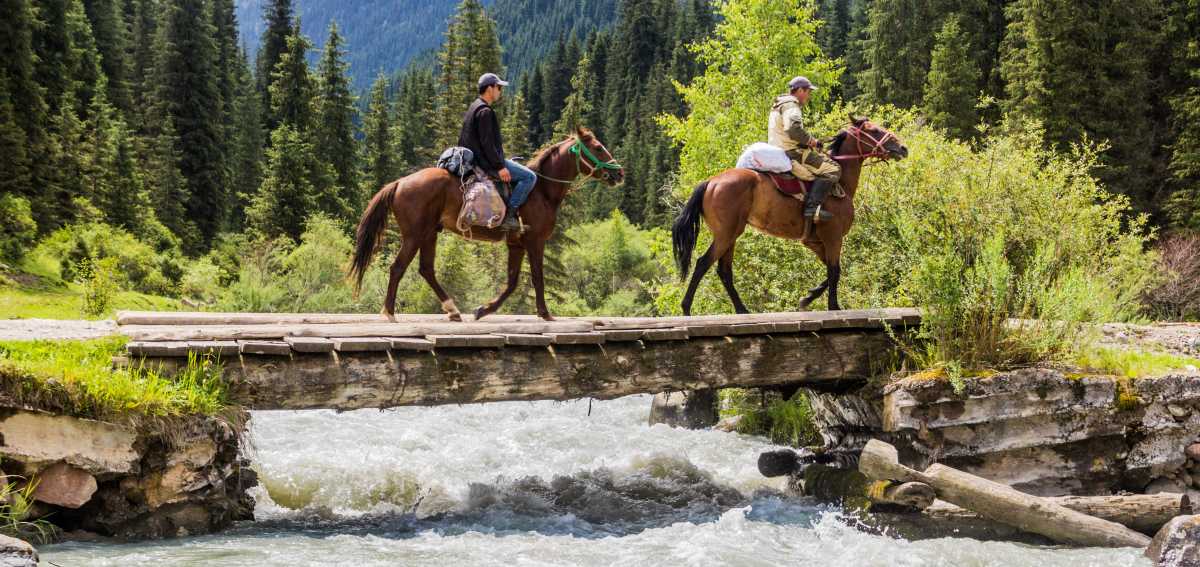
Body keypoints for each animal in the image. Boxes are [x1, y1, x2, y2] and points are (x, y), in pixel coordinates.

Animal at [349, 127, 624, 322]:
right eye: (598, 147)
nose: (619, 173)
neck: (542, 190)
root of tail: (399, 183)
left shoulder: (516, 245)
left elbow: (512, 283)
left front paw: (483, 310)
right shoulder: (535, 241)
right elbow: (537, 277)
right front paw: (545, 313)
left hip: (429, 234)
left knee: (426, 269)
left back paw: (453, 310)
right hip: (414, 235)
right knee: (397, 268)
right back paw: (389, 312)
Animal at [671, 116, 908, 315]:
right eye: (874, 130)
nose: (902, 148)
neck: (840, 184)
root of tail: (711, 182)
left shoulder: (814, 241)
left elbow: (829, 272)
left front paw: (807, 298)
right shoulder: (833, 237)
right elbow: (835, 271)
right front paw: (833, 306)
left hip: (730, 235)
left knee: (724, 270)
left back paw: (741, 310)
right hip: (726, 234)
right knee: (703, 263)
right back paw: (687, 308)